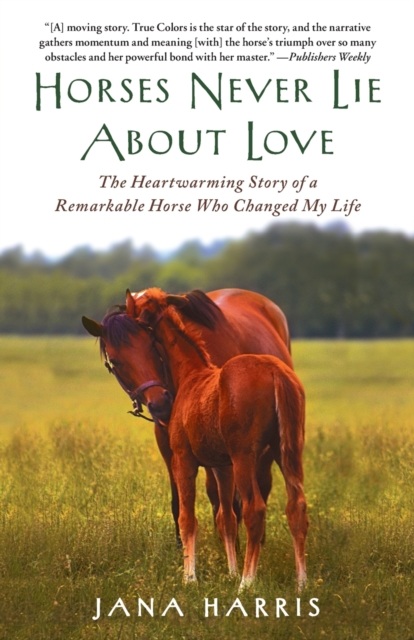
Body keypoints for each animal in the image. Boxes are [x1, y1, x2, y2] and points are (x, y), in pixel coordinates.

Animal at [85, 288, 308, 591]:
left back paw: (247, 582)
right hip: (288, 451)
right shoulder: (219, 464)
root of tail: (274, 373)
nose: (160, 404)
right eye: (116, 362)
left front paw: (190, 576)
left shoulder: (185, 458)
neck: (192, 373)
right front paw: (229, 569)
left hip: (247, 457)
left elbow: (188, 516)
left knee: (255, 508)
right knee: (296, 506)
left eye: (151, 346)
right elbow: (224, 516)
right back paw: (301, 582)